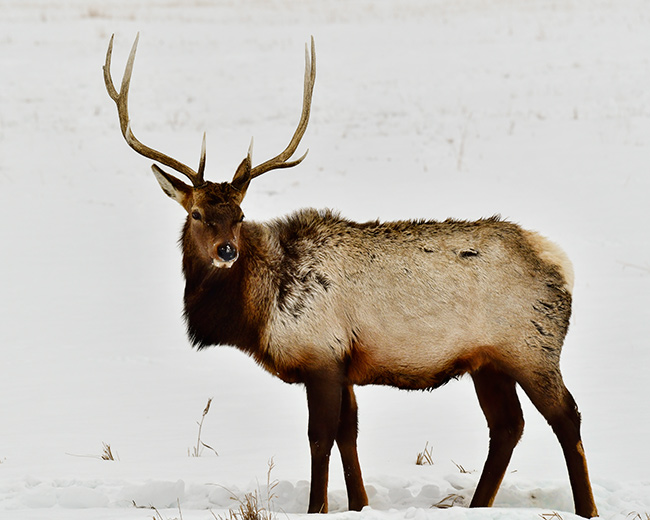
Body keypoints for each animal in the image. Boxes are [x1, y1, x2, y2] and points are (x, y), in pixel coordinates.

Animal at [102, 34, 596, 516]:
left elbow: (320, 438)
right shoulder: (344, 366)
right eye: (199, 214)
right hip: (489, 361)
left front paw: (317, 507)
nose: (227, 251)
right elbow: (348, 435)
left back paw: (585, 508)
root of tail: (560, 262)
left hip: (531, 348)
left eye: (239, 216)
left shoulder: (321, 356)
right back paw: (478, 506)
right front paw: (359, 503)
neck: (259, 312)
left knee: (566, 415)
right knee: (507, 426)